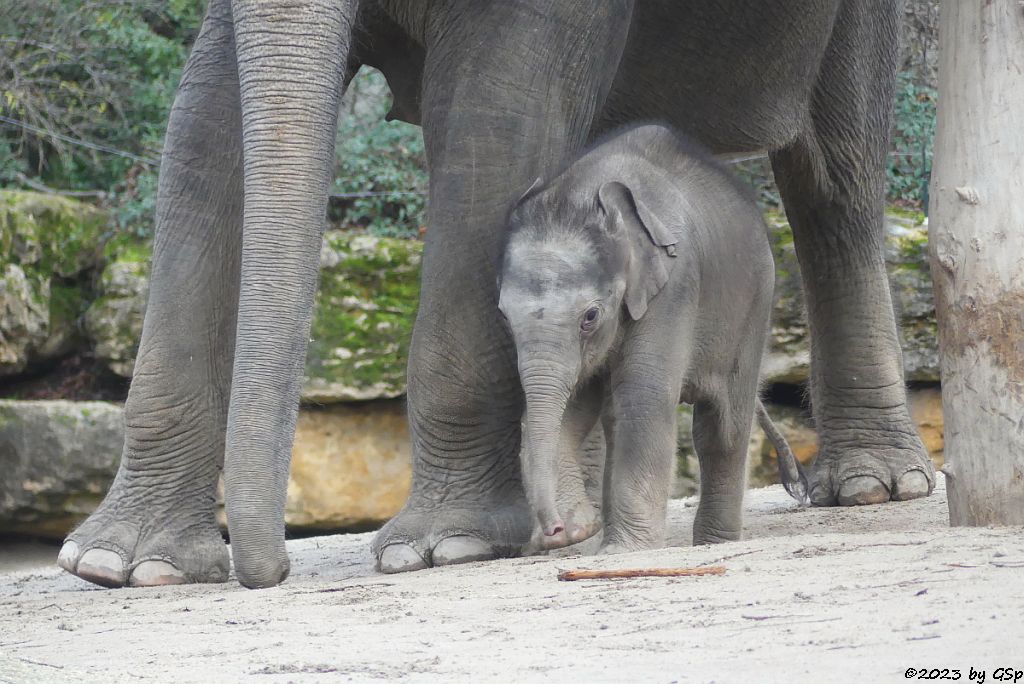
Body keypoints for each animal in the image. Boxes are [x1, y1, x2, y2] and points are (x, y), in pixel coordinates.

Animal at [497, 120, 806, 552]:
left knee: (722, 425)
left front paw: (624, 549)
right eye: (504, 317)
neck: (585, 191)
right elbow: (576, 402)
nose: (554, 531)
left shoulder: (674, 286)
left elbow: (644, 395)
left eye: (590, 316)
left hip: (754, 302)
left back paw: (714, 544)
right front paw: (585, 530)